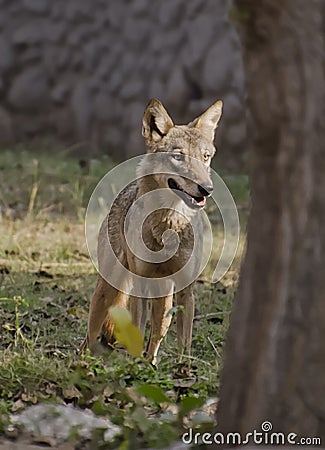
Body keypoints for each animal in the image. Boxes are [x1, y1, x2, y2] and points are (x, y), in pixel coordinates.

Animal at [81, 98, 223, 362]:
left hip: (163, 292)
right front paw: (135, 365)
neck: (168, 224)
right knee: (91, 333)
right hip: (108, 289)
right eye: (178, 157)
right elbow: (138, 329)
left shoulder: (185, 290)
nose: (206, 189)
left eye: (205, 156)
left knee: (158, 330)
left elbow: (182, 342)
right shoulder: (139, 285)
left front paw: (181, 369)